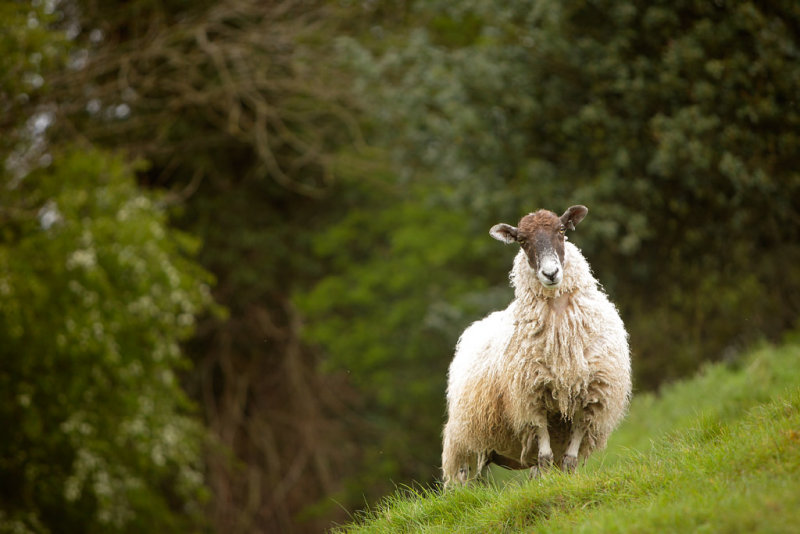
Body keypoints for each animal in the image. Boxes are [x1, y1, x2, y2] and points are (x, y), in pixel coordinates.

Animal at [440, 207, 628, 488]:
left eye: (561, 230)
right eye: (522, 240)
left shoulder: (589, 399)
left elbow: (569, 460)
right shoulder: (531, 399)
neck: (561, 337)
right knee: (464, 478)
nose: (550, 274)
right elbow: (545, 457)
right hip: (465, 438)